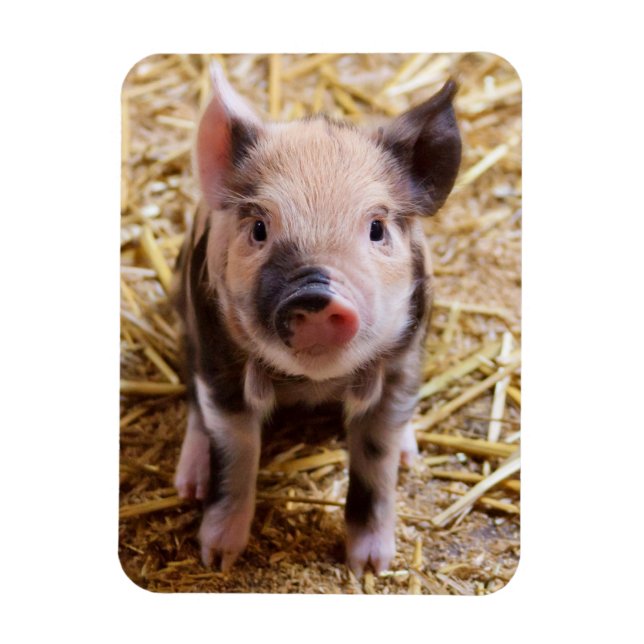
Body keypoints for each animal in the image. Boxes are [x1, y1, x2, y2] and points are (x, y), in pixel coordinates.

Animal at [173, 64, 461, 575]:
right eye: (259, 228)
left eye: (376, 229)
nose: (315, 294)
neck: (312, 384)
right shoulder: (218, 356)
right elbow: (236, 452)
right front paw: (218, 559)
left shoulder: (403, 362)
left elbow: (377, 460)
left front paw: (371, 568)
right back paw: (188, 485)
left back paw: (412, 458)